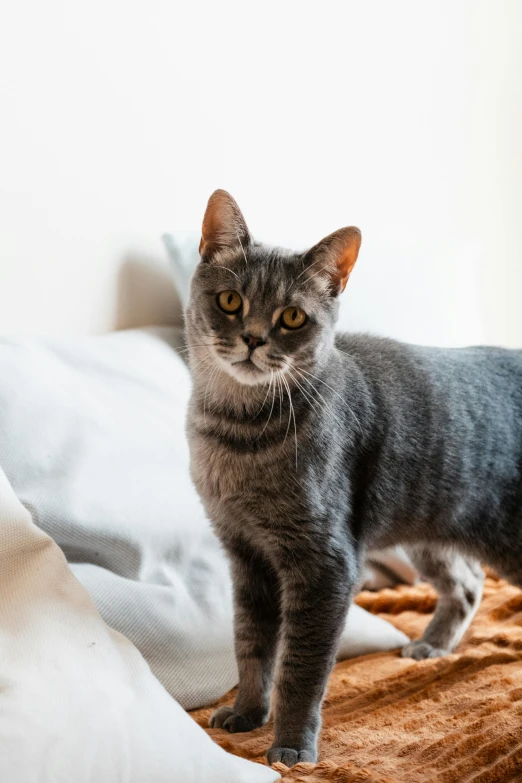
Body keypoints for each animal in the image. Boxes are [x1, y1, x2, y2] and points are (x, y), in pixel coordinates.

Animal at [184, 191, 520, 772]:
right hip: (430, 528)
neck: (237, 435)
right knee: (468, 583)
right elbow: (251, 646)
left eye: (292, 316)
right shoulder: (246, 556)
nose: (252, 338)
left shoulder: (325, 562)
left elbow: (300, 667)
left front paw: (292, 746)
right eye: (229, 301)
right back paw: (432, 646)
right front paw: (246, 712)